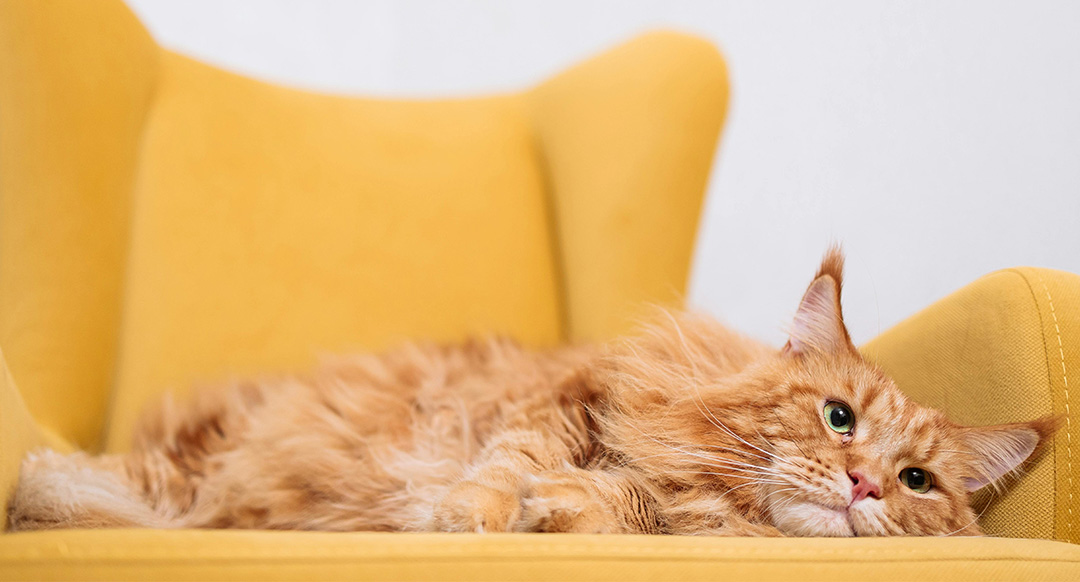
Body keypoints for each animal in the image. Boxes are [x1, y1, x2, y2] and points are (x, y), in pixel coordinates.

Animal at [6, 246, 1054, 537]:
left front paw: (559, 507)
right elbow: (503, 468)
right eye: (839, 419)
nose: (866, 485)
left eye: (917, 482)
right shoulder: (562, 403)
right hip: (198, 468)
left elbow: (607, 503)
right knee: (78, 474)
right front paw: (469, 512)